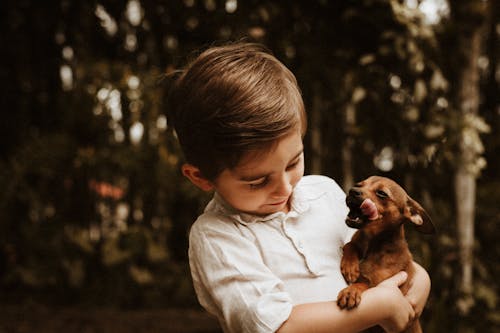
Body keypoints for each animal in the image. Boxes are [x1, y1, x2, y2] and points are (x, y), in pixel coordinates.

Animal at [336, 175, 438, 330]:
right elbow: (350, 245)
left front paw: (351, 291)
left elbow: (364, 284)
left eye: (382, 193)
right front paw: (350, 267)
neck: (373, 243)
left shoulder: (378, 283)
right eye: (359, 184)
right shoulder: (357, 242)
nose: (352, 190)